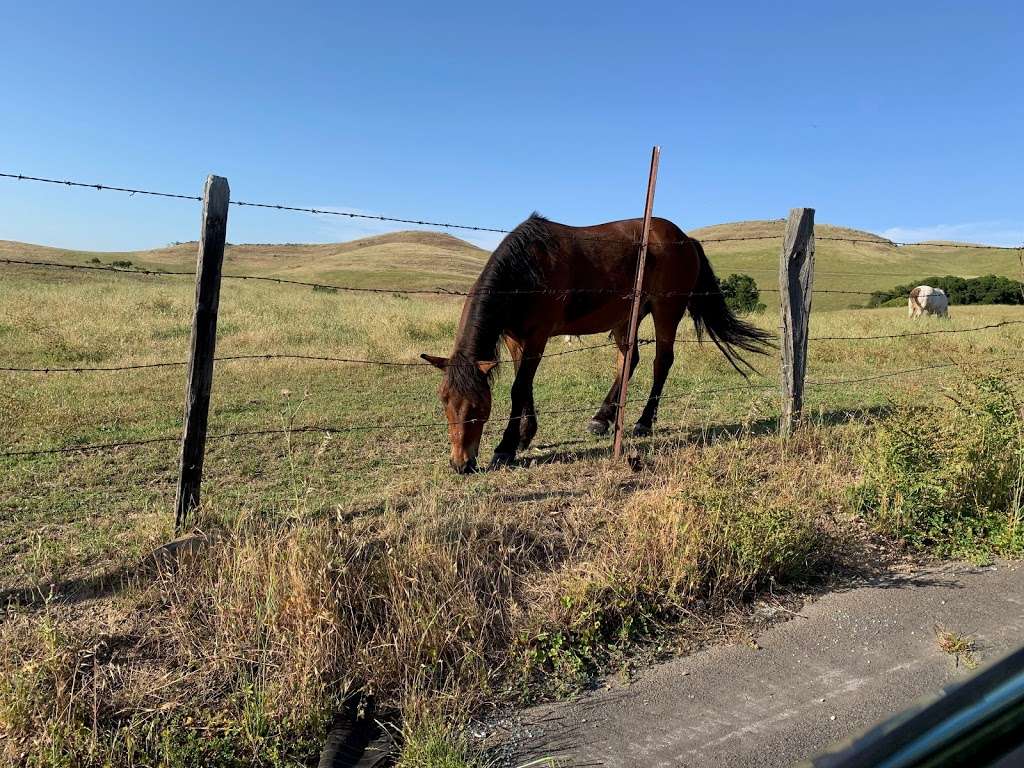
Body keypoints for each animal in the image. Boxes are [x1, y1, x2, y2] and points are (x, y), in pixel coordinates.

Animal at [419, 214, 770, 473]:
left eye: (478, 407)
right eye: (444, 401)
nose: (460, 464)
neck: (526, 269)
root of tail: (686, 239)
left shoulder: (537, 337)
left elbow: (519, 388)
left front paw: (506, 448)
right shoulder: (514, 338)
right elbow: (524, 385)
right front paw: (524, 436)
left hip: (666, 311)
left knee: (662, 362)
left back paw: (643, 422)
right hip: (627, 318)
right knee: (629, 360)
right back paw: (603, 418)